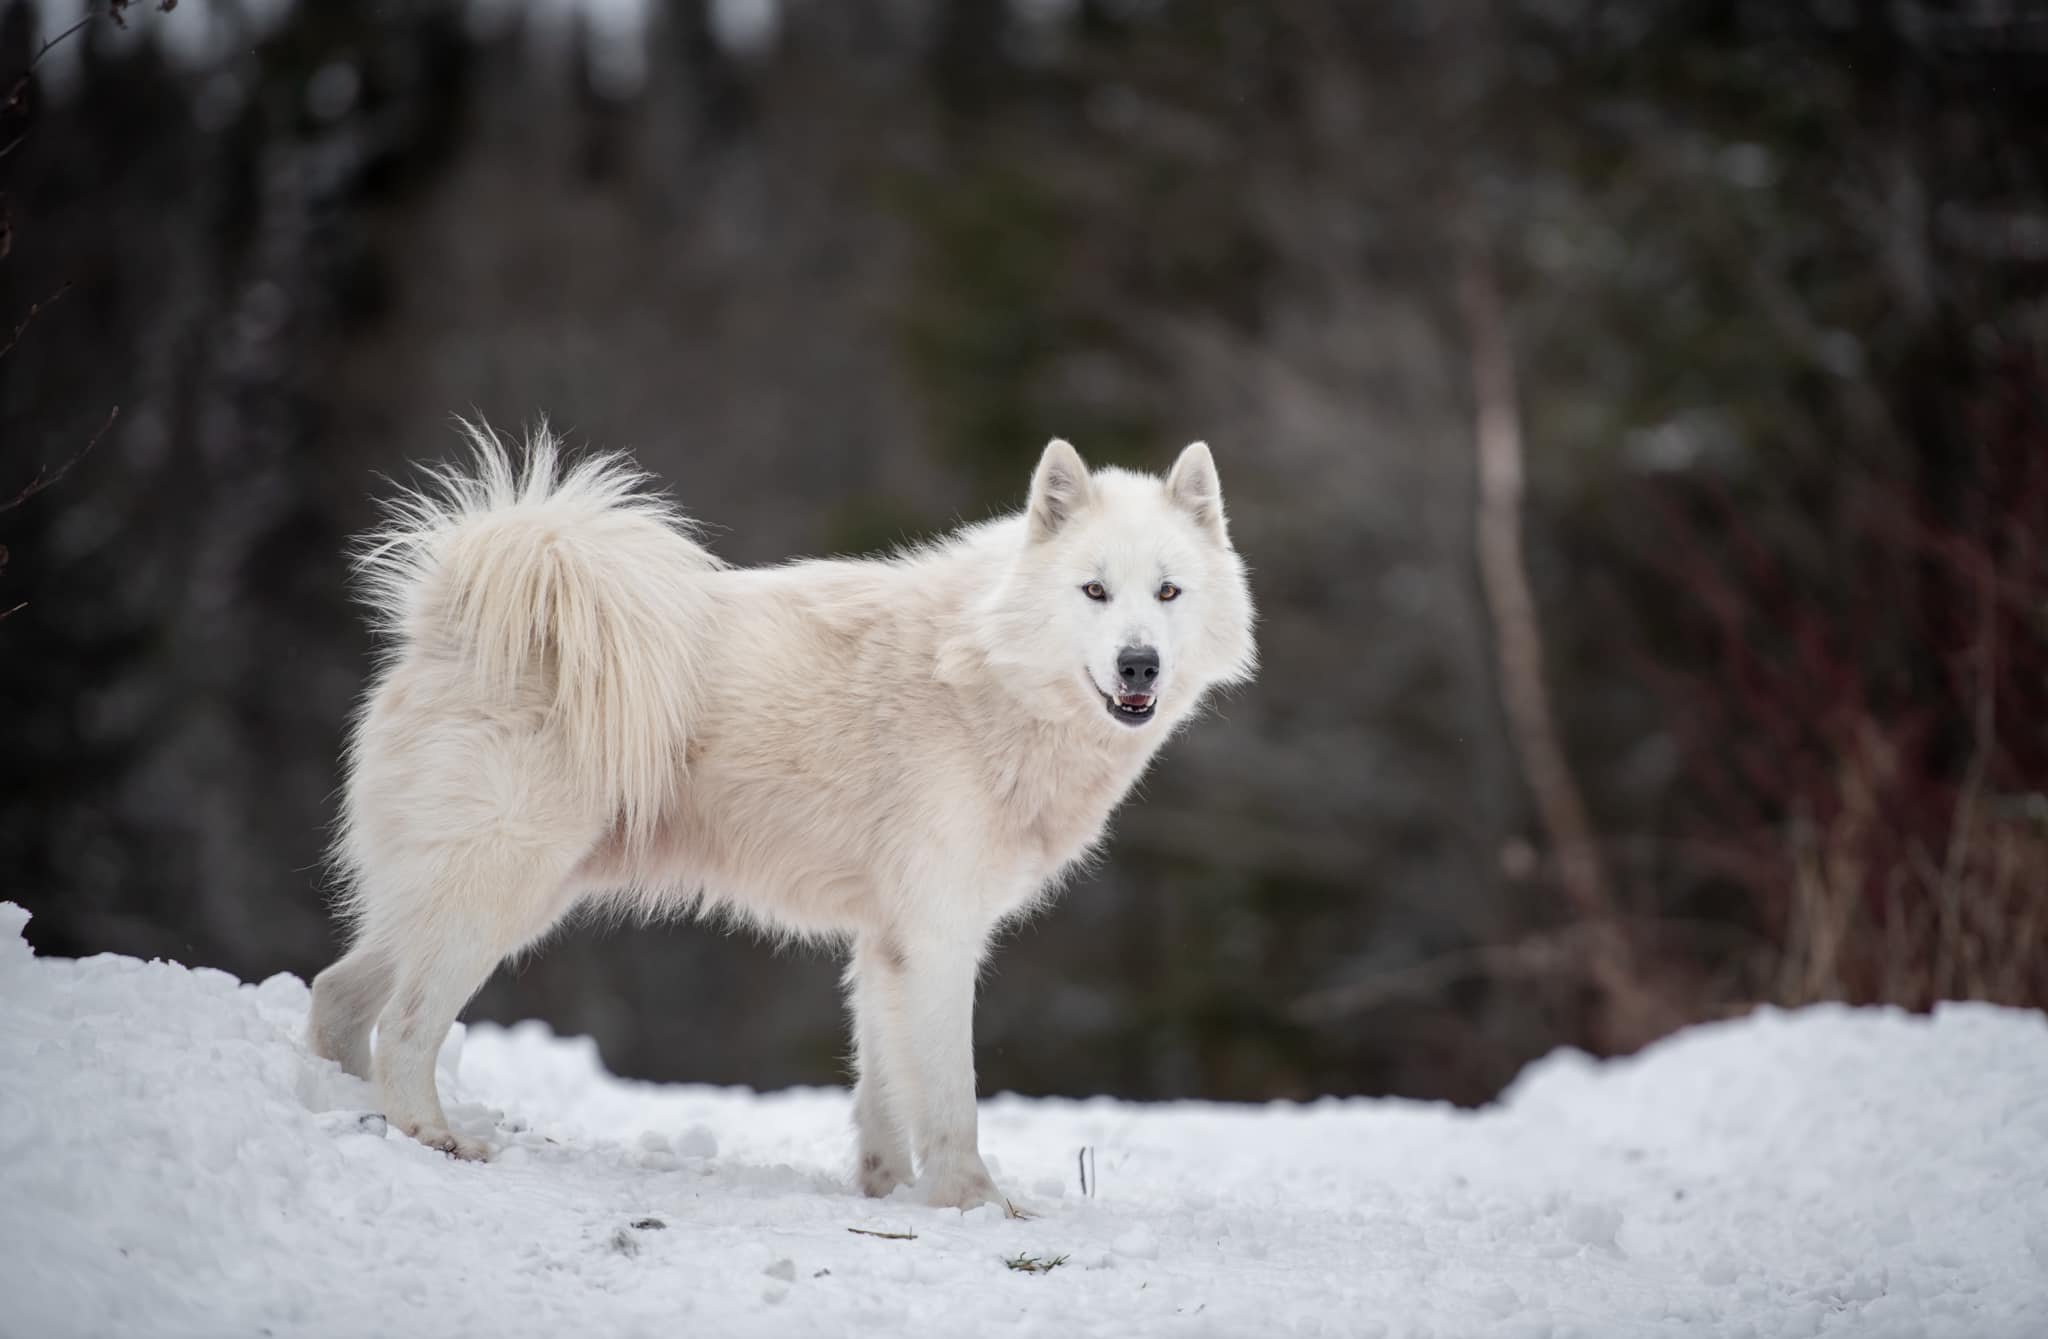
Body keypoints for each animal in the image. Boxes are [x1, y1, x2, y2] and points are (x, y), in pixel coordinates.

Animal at [309, 425, 1253, 1212]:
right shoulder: (939, 941)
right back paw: (431, 1135)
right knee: (405, 1023)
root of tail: (450, 616)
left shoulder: (883, 946)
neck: (982, 673)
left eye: (1169, 591)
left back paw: (340, 1104)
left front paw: (886, 1194)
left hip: (473, 898)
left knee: (337, 996)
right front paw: (977, 1204)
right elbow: (951, 1098)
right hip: (496, 896)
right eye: (1094, 590)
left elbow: (881, 1096)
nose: (1139, 664)